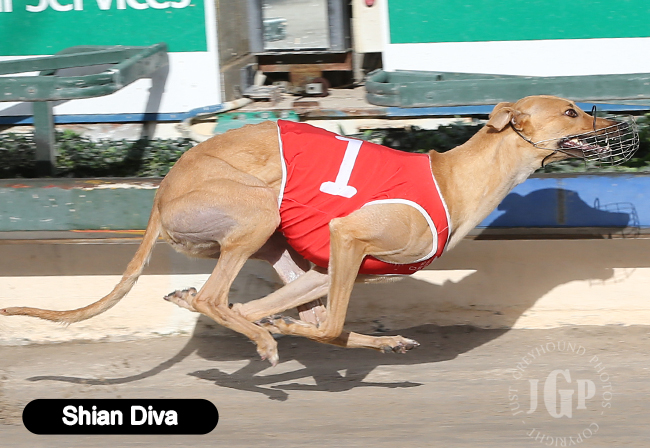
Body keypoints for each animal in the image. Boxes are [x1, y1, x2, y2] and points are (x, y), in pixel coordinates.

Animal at [1, 96, 638, 366]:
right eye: (572, 111)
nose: (622, 123)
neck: (456, 177)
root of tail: (162, 192)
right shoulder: (349, 237)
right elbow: (323, 325)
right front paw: (276, 332)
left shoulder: (329, 263)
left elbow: (310, 321)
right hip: (258, 211)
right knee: (217, 297)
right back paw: (258, 336)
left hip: (281, 247)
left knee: (231, 301)